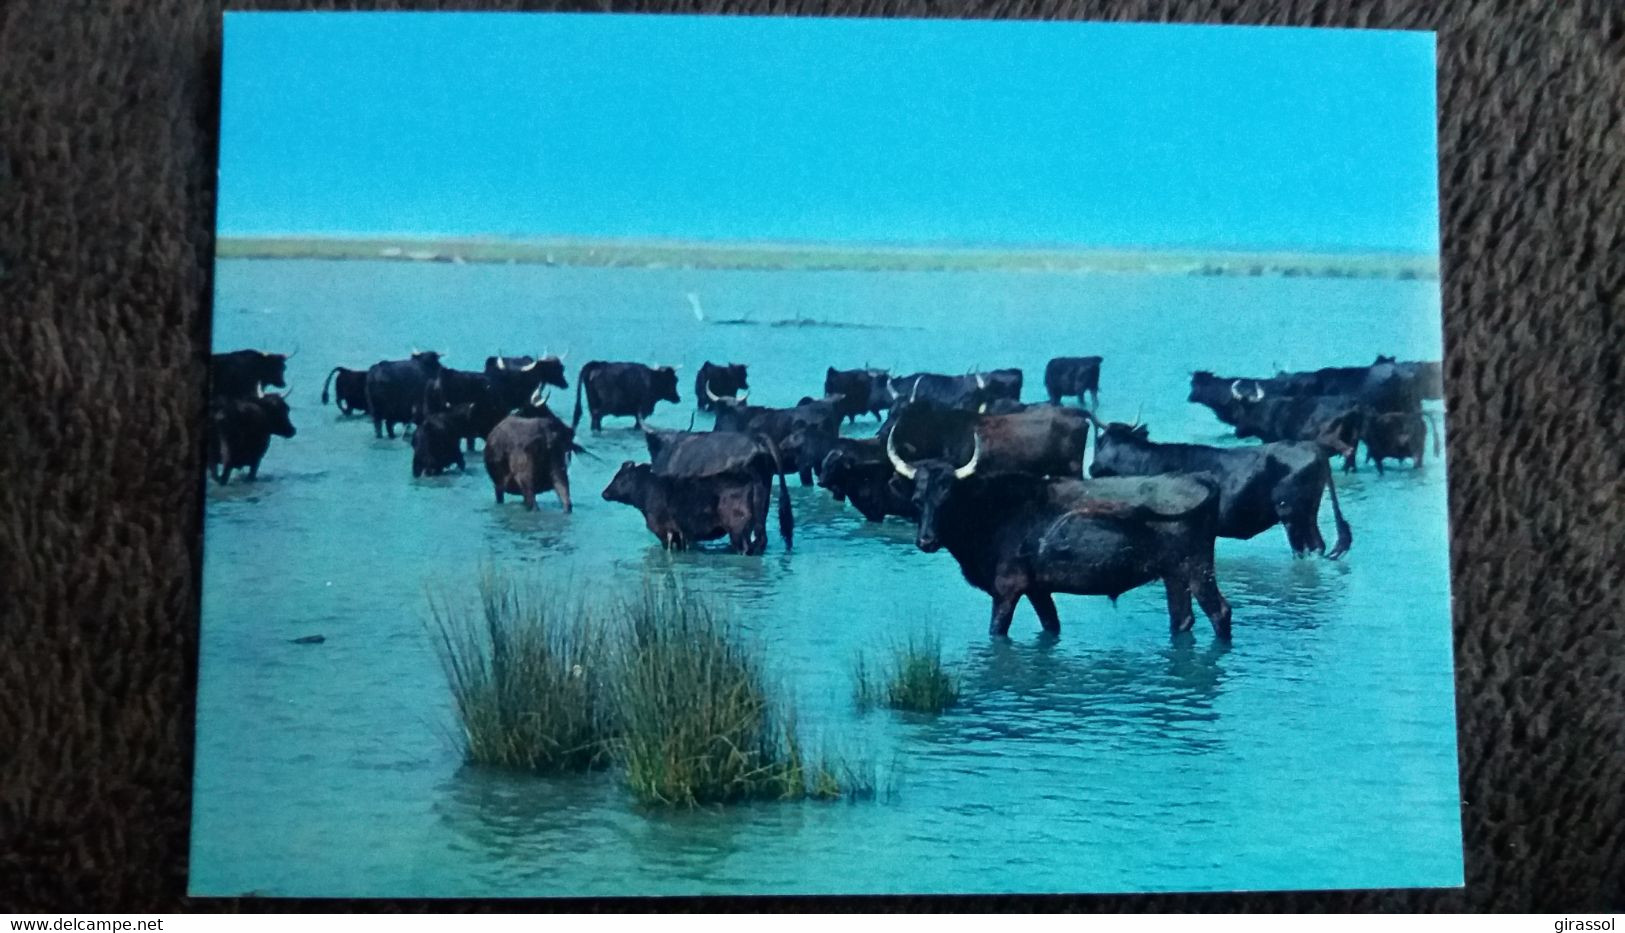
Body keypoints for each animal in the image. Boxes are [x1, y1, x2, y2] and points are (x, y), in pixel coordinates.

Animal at [890, 432, 1228, 643]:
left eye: (948, 499)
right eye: (917, 499)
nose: (926, 541)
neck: (992, 509)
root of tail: (1198, 477)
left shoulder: (1007, 587)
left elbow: (997, 631)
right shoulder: (1037, 588)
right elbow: (1051, 625)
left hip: (1197, 568)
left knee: (1219, 611)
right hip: (1173, 574)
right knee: (1182, 619)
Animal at [1092, 422, 1358, 562]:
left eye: (1100, 443)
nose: (1092, 467)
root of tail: (1312, 447)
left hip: (1292, 513)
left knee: (1307, 547)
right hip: (1307, 512)